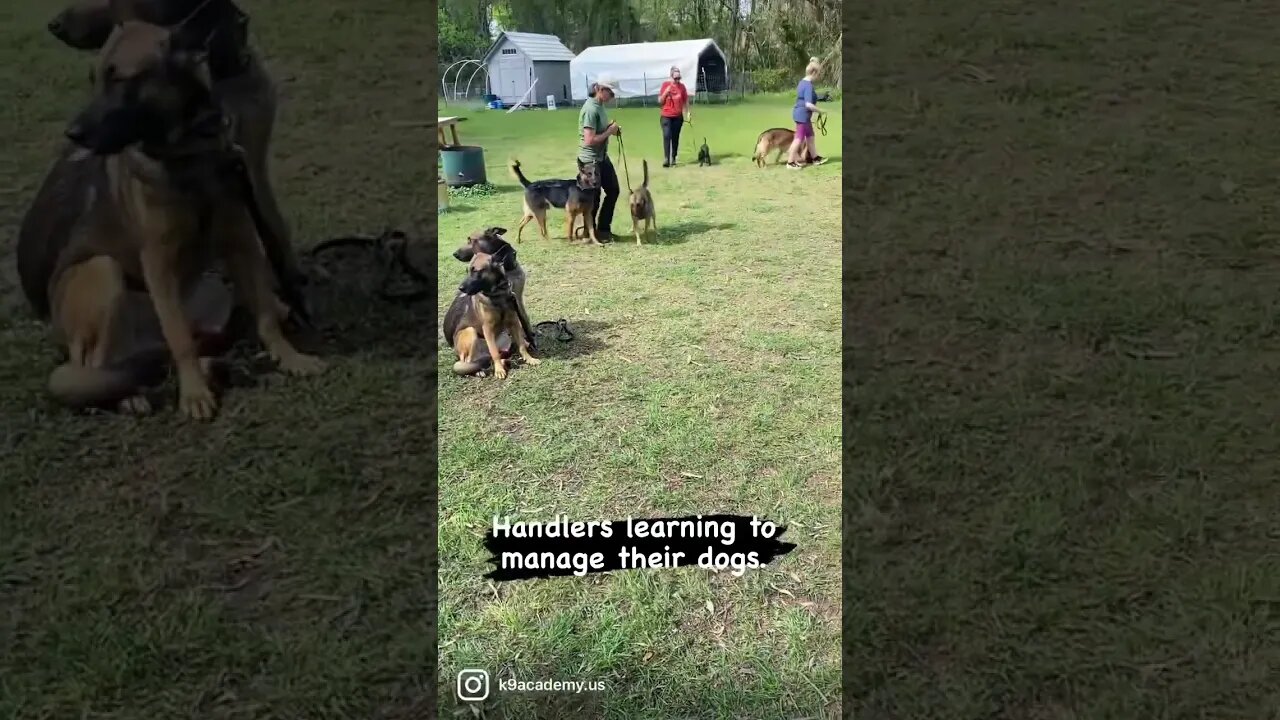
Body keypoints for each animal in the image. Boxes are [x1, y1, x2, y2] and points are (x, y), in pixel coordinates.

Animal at [20, 19, 322, 417]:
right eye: (94, 79)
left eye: (120, 79)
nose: (73, 133)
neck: (190, 155)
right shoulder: (158, 262)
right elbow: (179, 338)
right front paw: (193, 394)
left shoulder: (241, 243)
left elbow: (266, 317)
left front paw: (289, 358)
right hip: (103, 273)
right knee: (97, 364)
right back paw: (130, 395)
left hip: (211, 297)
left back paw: (210, 365)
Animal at [442, 249, 537, 379]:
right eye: (467, 271)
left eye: (476, 271)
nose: (460, 288)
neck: (498, 294)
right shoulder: (487, 329)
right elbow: (494, 352)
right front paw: (499, 370)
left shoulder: (514, 323)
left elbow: (521, 345)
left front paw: (529, 359)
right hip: (470, 332)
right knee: (470, 360)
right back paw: (480, 370)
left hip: (504, 337)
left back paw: (504, 360)